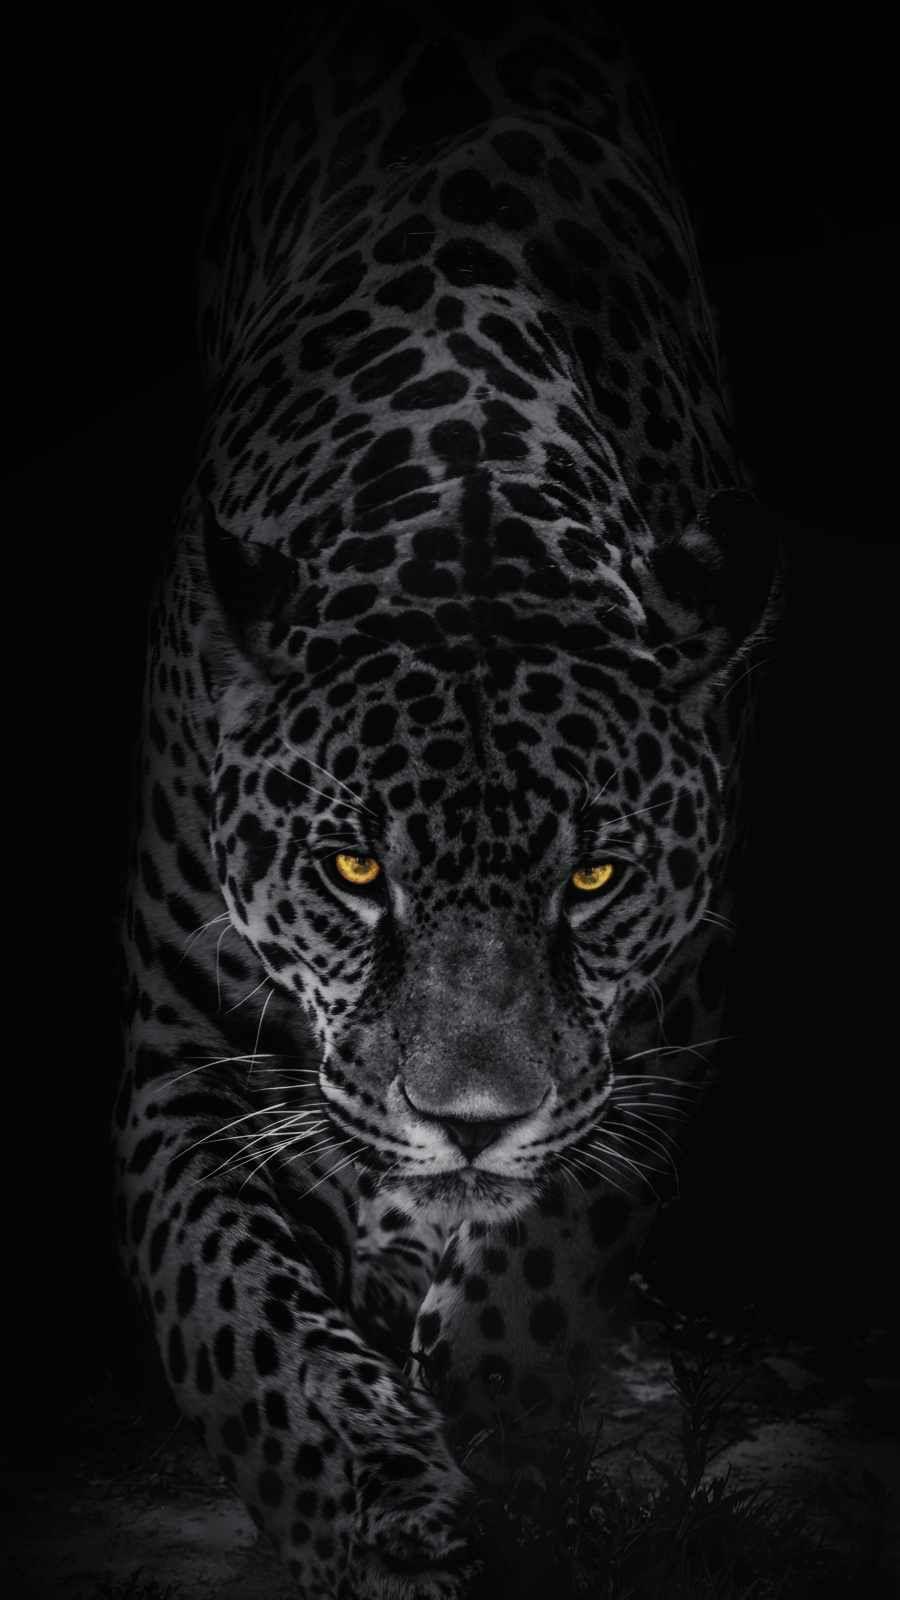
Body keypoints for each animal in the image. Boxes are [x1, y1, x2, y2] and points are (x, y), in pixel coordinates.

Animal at [115, 2, 779, 1594]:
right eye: (352, 873)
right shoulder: (180, 1061)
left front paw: (513, 1440)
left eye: (596, 880)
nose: (467, 1118)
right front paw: (379, 1517)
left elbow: (549, 1246)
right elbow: (244, 1332)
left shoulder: (669, 1016)